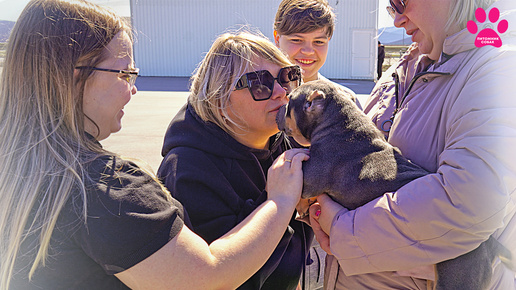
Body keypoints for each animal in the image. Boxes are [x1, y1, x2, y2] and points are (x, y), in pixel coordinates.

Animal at [276, 80, 510, 290]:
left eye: (289, 100)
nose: (278, 108)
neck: (339, 122)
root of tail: (489, 243)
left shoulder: (308, 178)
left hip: (457, 277)